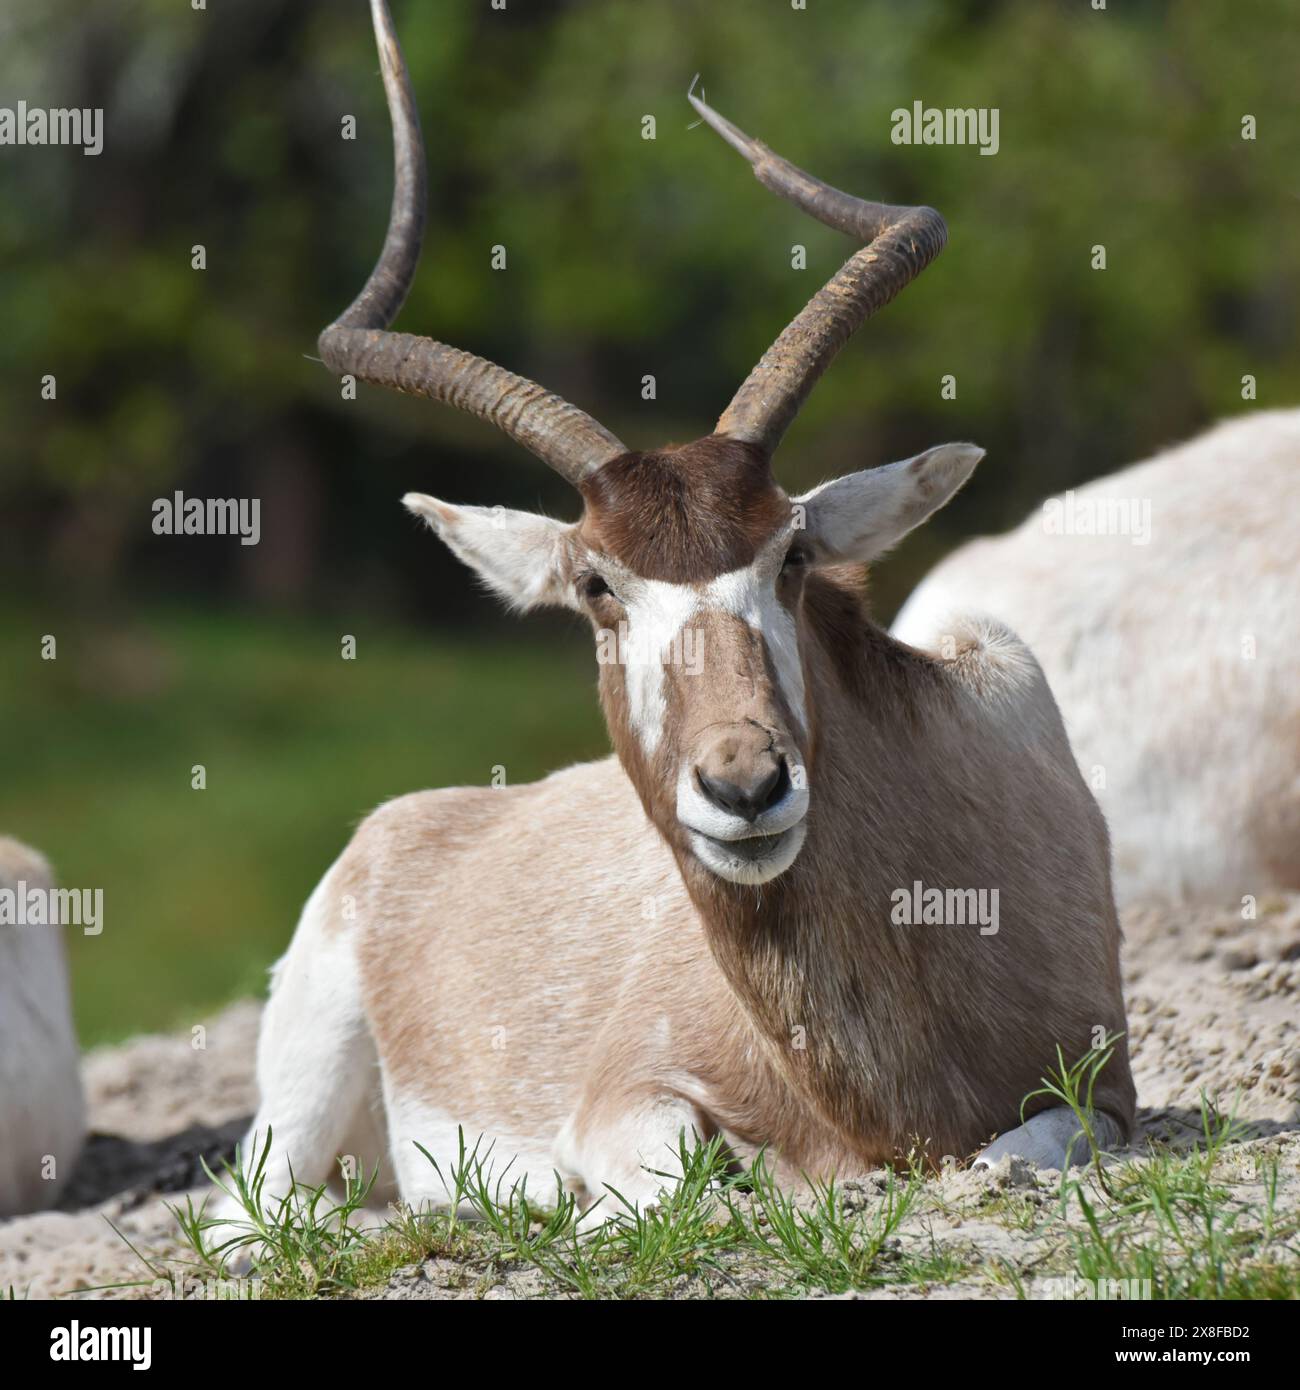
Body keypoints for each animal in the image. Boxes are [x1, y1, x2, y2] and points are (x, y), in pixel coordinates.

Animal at [211, 0, 1134, 1238]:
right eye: (598, 586)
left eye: (792, 553)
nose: (745, 785)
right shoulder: (624, 1099)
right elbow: (678, 1193)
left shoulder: (1106, 1087)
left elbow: (1021, 1149)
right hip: (296, 1105)